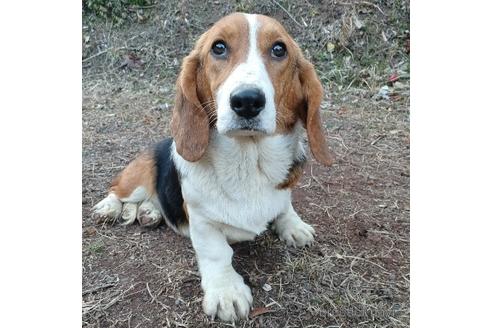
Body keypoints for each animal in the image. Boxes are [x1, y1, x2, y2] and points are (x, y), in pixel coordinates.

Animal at [92, 12, 334, 320]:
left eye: (279, 49)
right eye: (218, 47)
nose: (247, 101)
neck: (247, 160)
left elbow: (284, 206)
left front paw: (293, 226)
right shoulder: (202, 220)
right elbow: (217, 252)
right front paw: (226, 292)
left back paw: (148, 212)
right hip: (136, 178)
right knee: (117, 189)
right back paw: (110, 208)